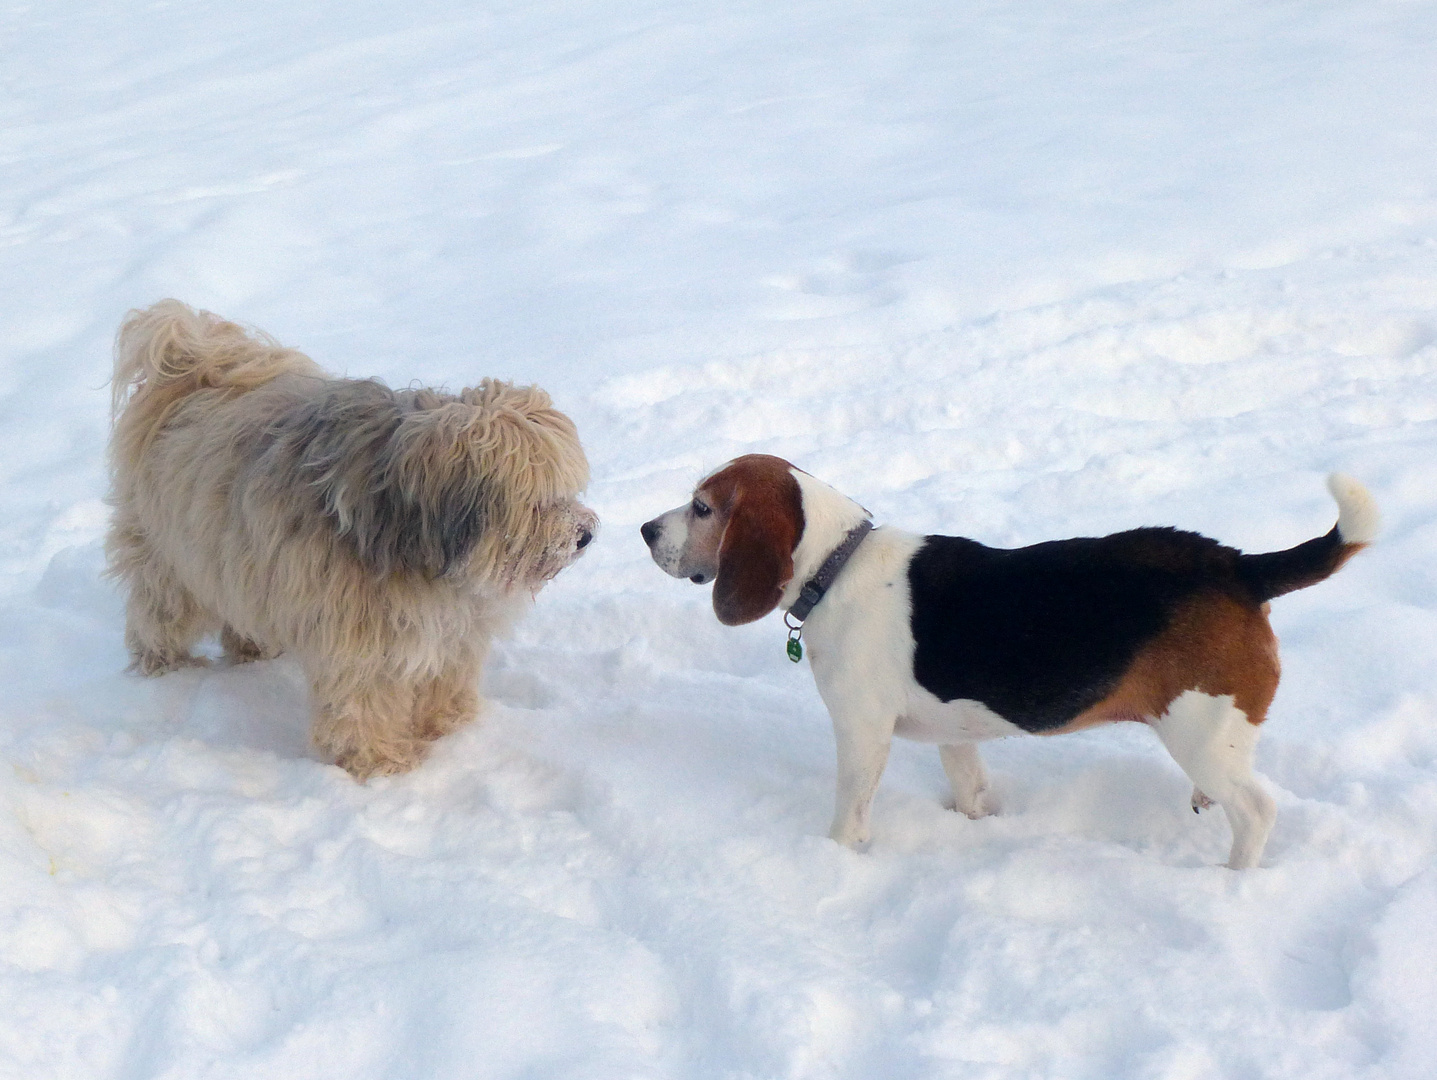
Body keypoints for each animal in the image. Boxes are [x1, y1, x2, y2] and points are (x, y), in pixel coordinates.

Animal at [104, 300, 592, 775]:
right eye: (540, 500)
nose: (585, 535)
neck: (407, 525)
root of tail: (197, 368)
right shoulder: (358, 635)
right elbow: (363, 700)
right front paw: (380, 761)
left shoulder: (453, 631)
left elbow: (443, 679)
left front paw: (448, 728)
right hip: (169, 558)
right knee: (160, 612)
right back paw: (167, 665)